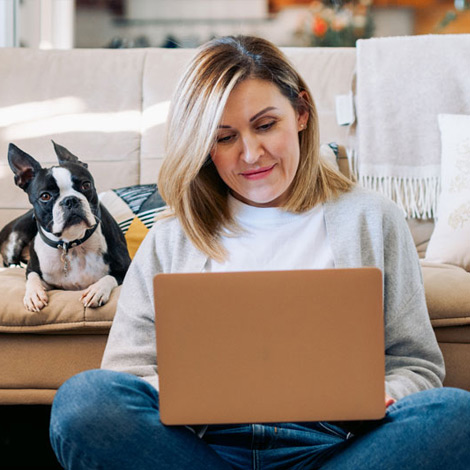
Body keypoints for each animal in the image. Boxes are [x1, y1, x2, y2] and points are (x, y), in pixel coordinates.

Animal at [0, 143, 130, 312]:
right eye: (45, 196)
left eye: (86, 185)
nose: (70, 200)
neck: (71, 244)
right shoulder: (34, 270)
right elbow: (32, 277)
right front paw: (34, 294)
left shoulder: (126, 267)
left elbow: (110, 277)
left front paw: (96, 290)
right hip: (16, 236)